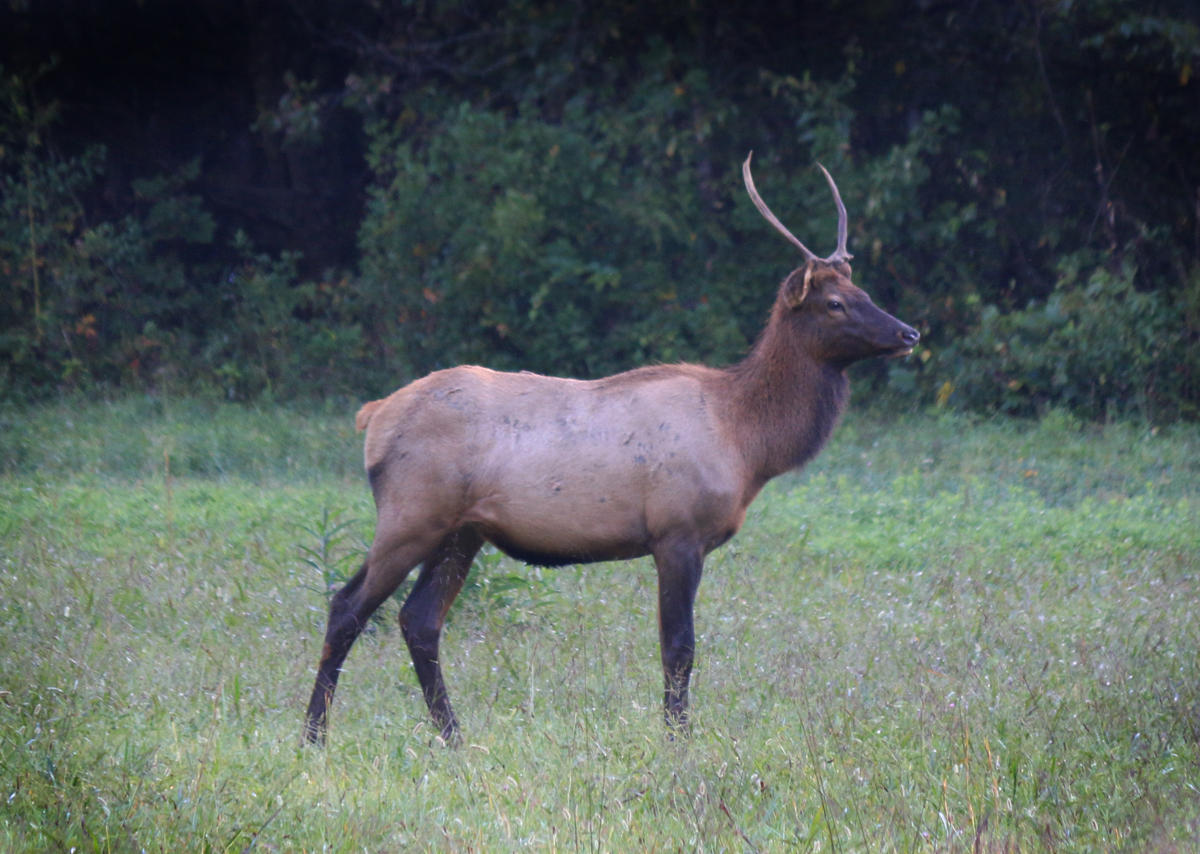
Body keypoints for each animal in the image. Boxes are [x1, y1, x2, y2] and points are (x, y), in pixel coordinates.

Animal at [302, 157, 916, 743]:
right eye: (834, 303)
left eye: (864, 294)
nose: (908, 333)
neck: (747, 441)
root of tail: (373, 415)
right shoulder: (676, 532)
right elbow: (679, 649)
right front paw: (677, 741)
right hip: (411, 513)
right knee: (347, 607)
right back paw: (314, 735)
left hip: (462, 530)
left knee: (420, 619)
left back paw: (453, 735)